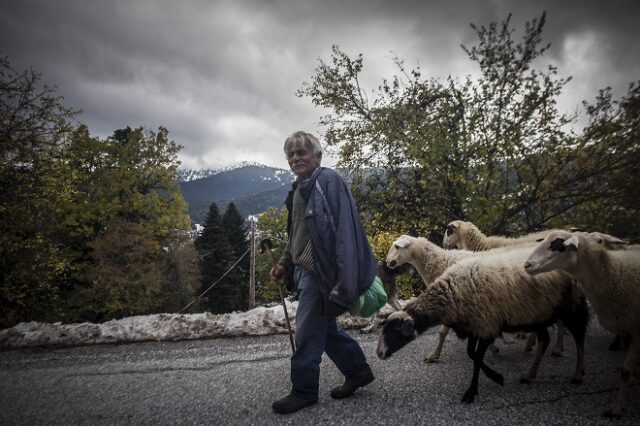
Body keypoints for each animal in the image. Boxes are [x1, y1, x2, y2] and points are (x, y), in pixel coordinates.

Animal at [376, 243, 592, 402]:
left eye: (393, 331)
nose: (378, 353)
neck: (450, 292)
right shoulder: (474, 325)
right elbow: (472, 354)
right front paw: (494, 376)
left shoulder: (487, 324)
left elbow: (476, 356)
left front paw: (473, 390)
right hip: (539, 313)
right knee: (545, 339)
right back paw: (530, 374)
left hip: (571, 306)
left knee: (579, 337)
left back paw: (577, 373)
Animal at [524, 231, 640, 418]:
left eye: (559, 245)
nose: (527, 265)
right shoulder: (626, 329)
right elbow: (626, 368)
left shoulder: (636, 332)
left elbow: (625, 370)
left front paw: (616, 408)